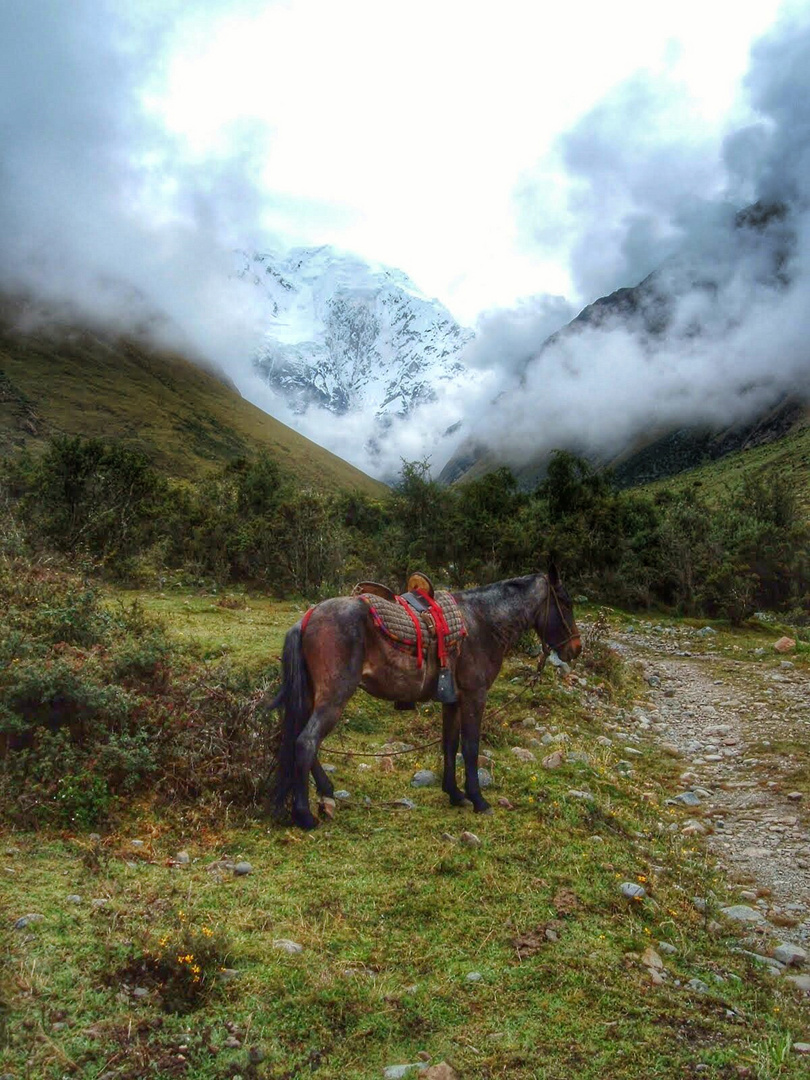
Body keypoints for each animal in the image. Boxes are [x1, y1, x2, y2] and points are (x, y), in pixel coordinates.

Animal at [266, 565, 583, 825]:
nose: (576, 648)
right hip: (334, 697)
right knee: (306, 742)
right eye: (565, 602)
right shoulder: (475, 695)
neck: (482, 621)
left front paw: (454, 794)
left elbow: (449, 744)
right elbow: (470, 747)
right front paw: (478, 800)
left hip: (313, 696)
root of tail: (306, 619)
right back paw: (305, 815)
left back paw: (327, 794)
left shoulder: (452, 700)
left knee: (299, 739)